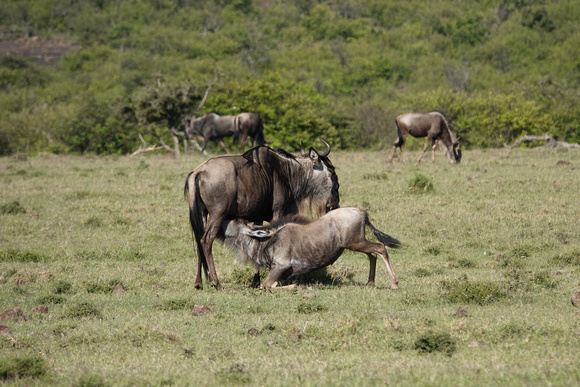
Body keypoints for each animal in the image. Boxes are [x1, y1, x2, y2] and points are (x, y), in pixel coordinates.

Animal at [185, 142, 340, 292]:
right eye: (332, 172)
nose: (335, 204)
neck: (288, 173)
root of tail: (198, 171)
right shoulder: (278, 213)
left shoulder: (257, 217)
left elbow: (257, 241)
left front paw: (256, 281)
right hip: (218, 213)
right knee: (206, 240)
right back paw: (216, 283)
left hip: (202, 214)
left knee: (199, 240)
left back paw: (198, 283)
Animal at [223, 208, 404, 290]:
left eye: (237, 220)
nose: (224, 217)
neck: (267, 241)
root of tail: (361, 211)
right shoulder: (283, 273)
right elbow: (272, 284)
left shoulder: (280, 266)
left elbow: (266, 285)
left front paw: (299, 287)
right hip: (358, 243)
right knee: (373, 253)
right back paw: (370, 283)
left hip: (355, 242)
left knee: (380, 248)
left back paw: (394, 283)